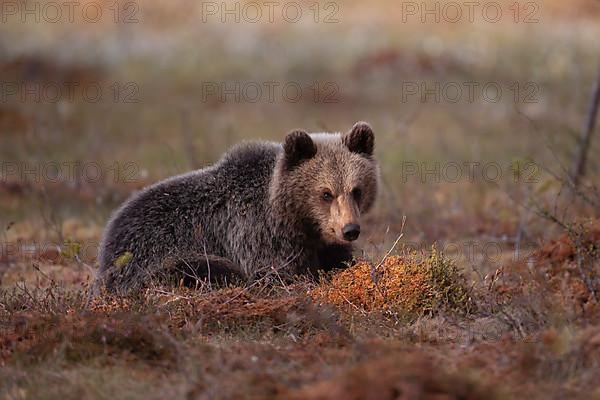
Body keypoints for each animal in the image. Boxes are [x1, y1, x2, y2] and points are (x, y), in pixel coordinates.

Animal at [92, 122, 380, 294]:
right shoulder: (255, 235)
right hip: (146, 259)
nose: (350, 230)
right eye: (326, 193)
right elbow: (277, 272)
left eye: (356, 190)